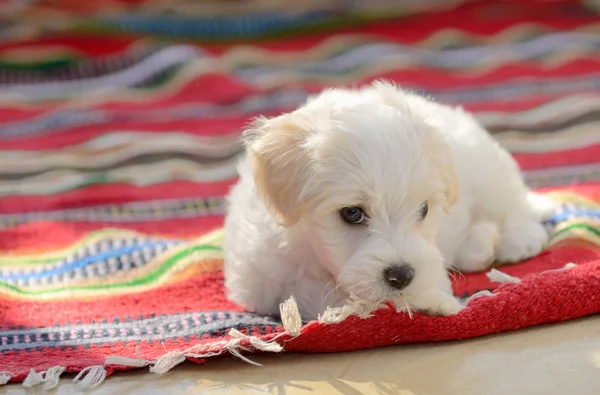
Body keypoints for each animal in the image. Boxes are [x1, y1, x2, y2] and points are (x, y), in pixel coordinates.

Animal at [223, 82, 556, 320]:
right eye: (352, 213)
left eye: (423, 209)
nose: (402, 275)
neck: (308, 249)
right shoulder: (259, 280)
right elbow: (313, 292)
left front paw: (433, 300)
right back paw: (480, 243)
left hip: (487, 172)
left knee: (514, 205)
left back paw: (517, 240)